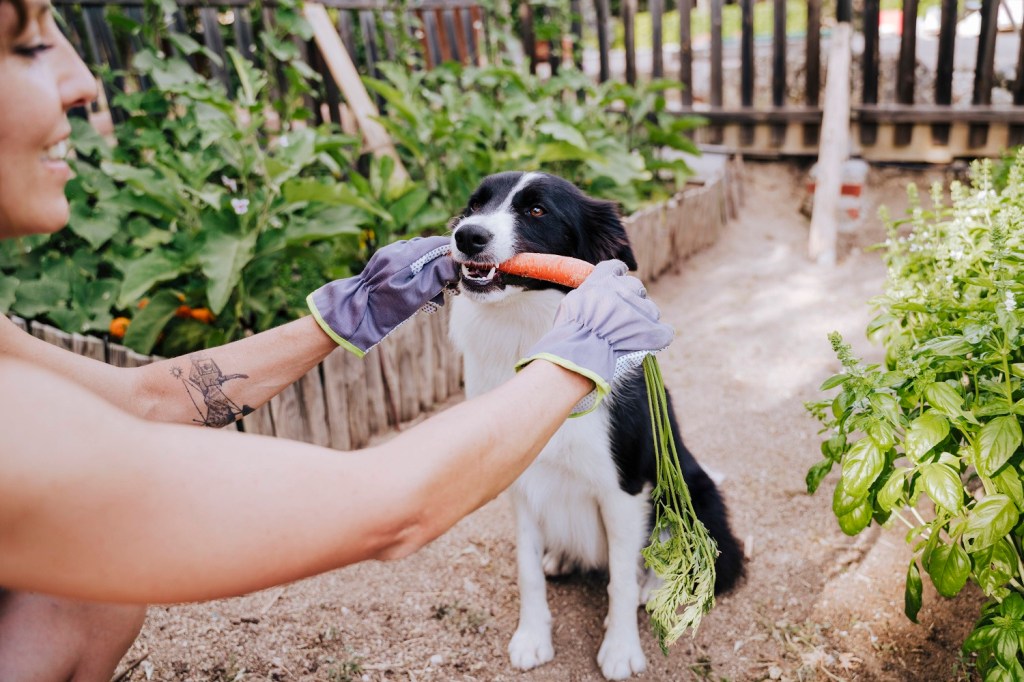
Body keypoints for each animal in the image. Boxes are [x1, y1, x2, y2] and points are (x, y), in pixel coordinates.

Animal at [444, 169, 741, 675]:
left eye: (537, 210)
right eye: (474, 205)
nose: (467, 235)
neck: (529, 332)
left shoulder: (623, 488)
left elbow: (620, 580)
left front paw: (621, 650)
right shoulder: (521, 482)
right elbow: (526, 569)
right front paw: (532, 637)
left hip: (690, 492)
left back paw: (654, 587)